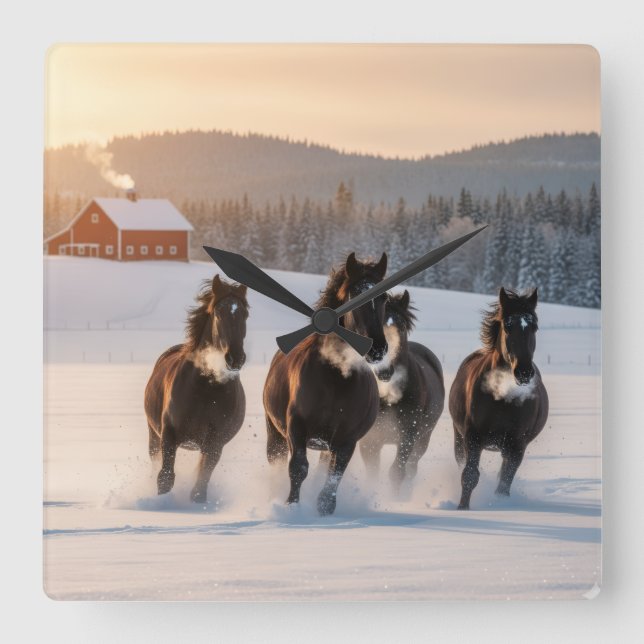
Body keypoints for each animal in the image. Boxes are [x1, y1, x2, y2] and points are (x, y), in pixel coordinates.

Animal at [144, 275, 249, 503]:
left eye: (245, 314)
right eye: (219, 312)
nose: (235, 358)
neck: (206, 390)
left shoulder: (215, 443)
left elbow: (200, 486)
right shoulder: (169, 435)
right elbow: (165, 477)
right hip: (154, 435)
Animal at [263, 252, 389, 515]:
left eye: (384, 297)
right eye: (355, 295)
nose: (377, 348)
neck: (336, 381)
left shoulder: (347, 440)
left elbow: (333, 477)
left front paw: (324, 511)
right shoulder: (296, 428)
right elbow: (298, 468)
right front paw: (292, 507)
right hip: (275, 433)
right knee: (277, 461)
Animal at [359, 290, 445, 494]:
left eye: (403, 326)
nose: (384, 371)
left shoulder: (408, 437)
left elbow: (397, 473)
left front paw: (395, 498)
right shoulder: (369, 440)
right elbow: (373, 474)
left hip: (423, 439)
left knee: (412, 468)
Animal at [449, 287, 549, 510]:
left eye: (534, 327)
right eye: (508, 326)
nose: (524, 372)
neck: (504, 400)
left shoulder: (517, 447)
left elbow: (504, 484)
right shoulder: (473, 437)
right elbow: (469, 475)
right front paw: (462, 509)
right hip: (459, 437)